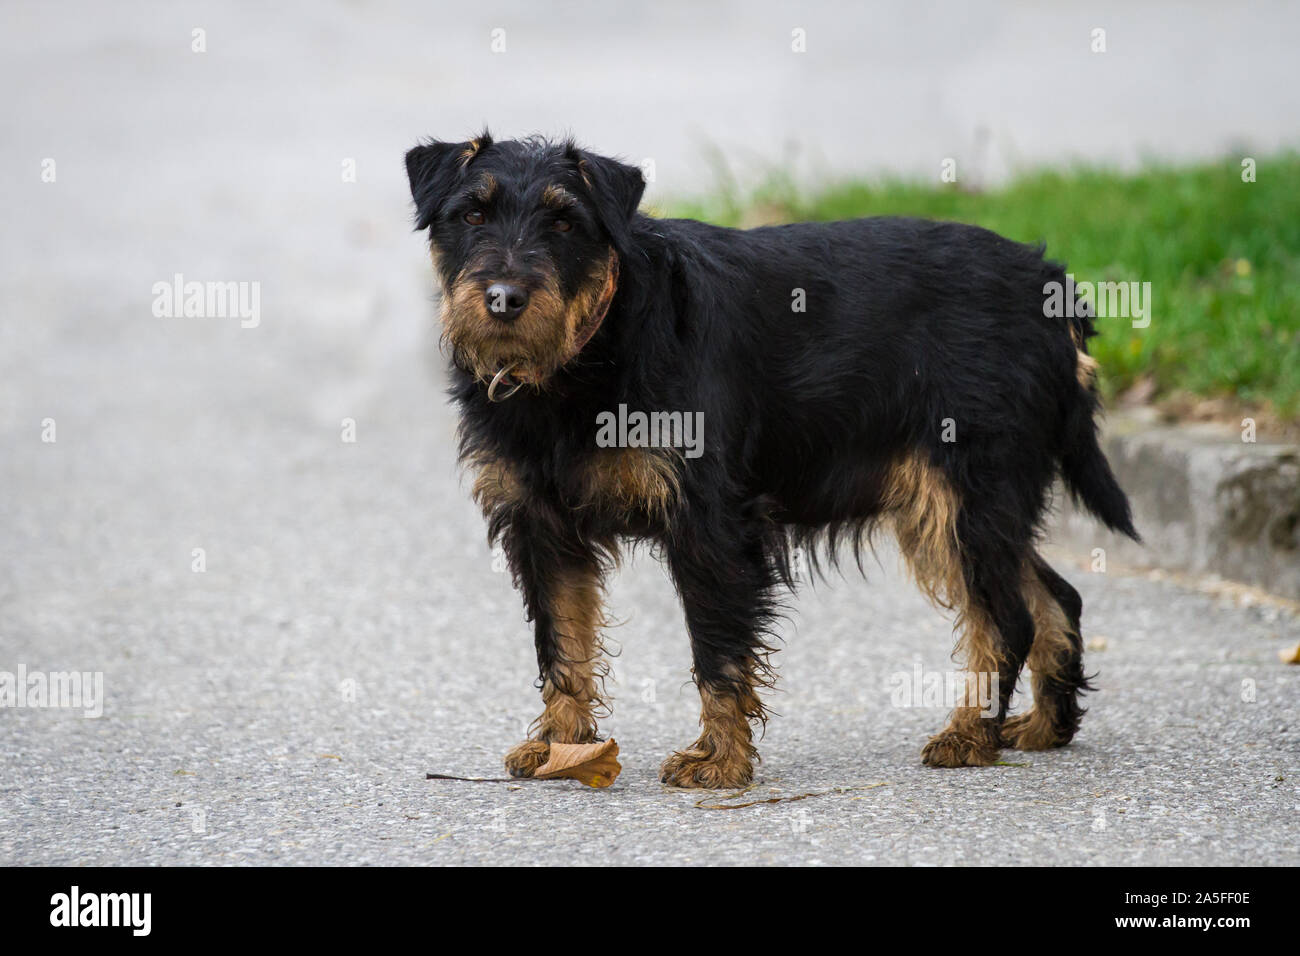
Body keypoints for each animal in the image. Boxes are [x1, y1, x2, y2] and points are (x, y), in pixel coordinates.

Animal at [405, 130, 1138, 790]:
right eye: (472, 214)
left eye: (563, 221)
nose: (504, 298)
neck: (586, 352)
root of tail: (1052, 284)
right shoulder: (544, 532)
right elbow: (562, 646)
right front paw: (561, 748)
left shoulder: (710, 528)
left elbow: (718, 650)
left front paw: (720, 759)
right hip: (963, 507)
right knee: (1054, 597)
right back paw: (1044, 727)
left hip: (963, 498)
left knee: (1007, 617)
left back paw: (969, 736)